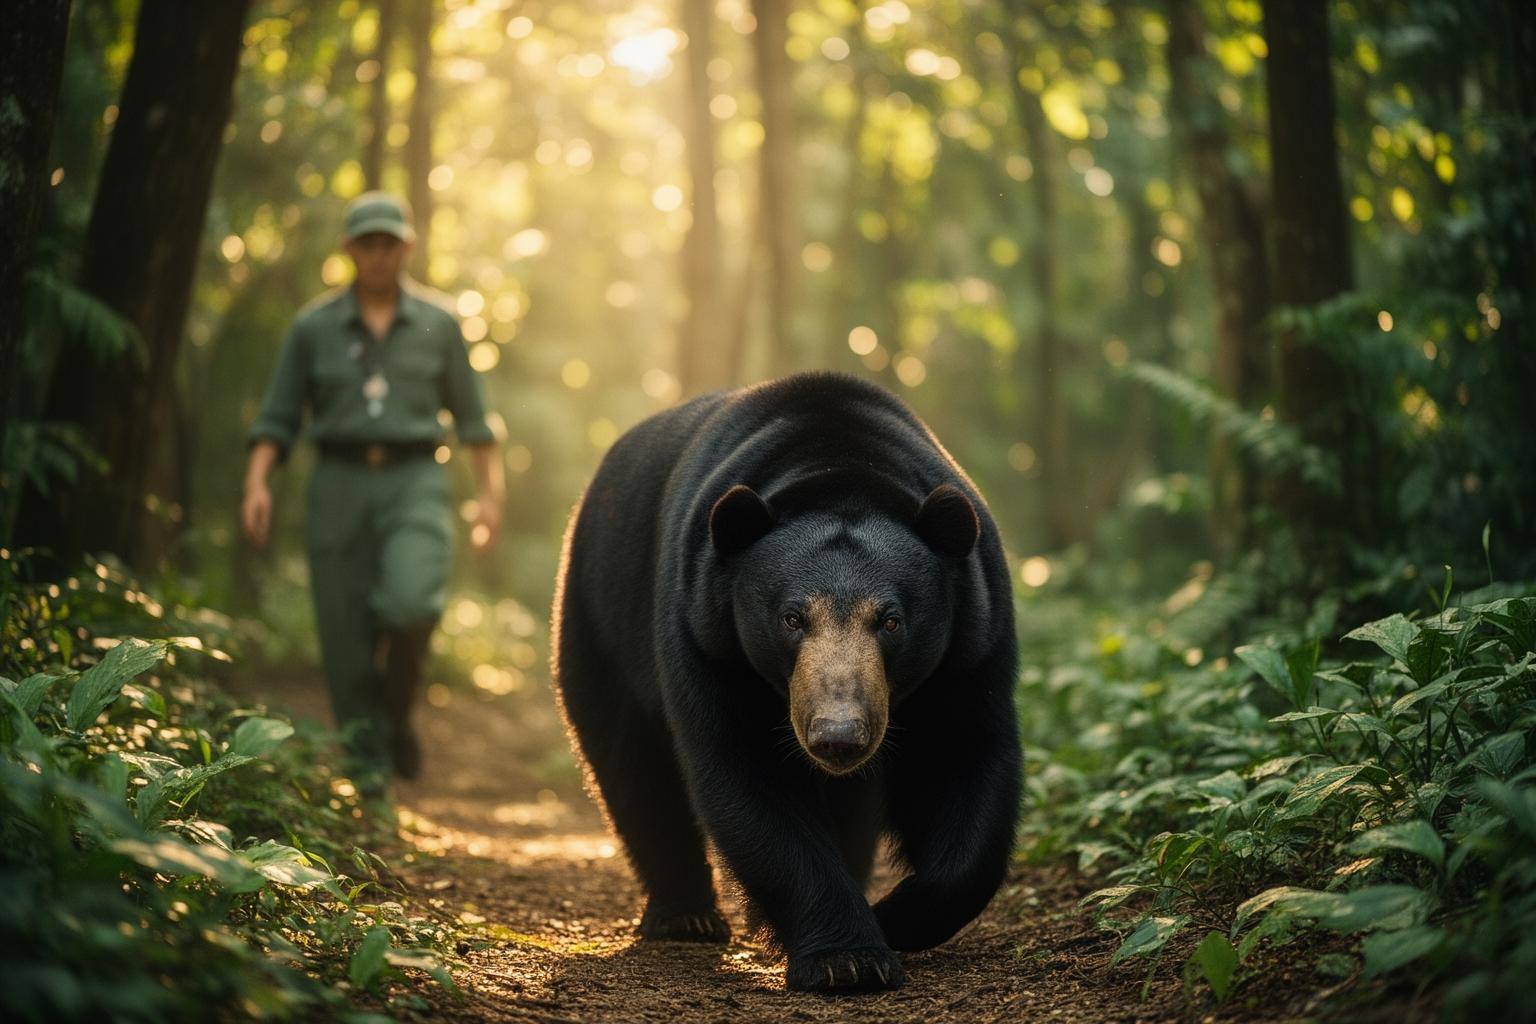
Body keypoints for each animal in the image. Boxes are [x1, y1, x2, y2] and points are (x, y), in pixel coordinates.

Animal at [550, 371, 1021, 993]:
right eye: (792, 618)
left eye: (891, 620)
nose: (838, 735)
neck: (839, 468)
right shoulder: (706, 632)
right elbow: (747, 776)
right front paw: (848, 958)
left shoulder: (972, 642)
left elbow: (964, 759)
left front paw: (891, 917)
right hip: (600, 619)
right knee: (632, 762)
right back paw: (686, 915)